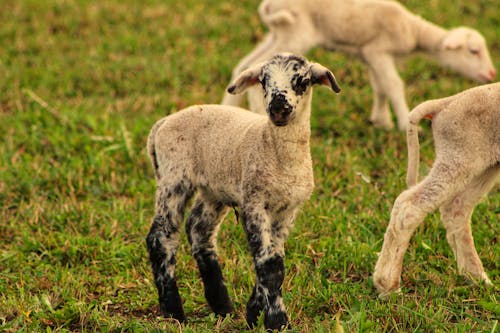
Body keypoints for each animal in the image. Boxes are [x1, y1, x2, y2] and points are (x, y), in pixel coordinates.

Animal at [223, 0, 496, 131]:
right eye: (473, 51)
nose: (492, 73)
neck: (413, 31)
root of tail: (270, 6)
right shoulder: (378, 51)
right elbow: (393, 85)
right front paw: (403, 124)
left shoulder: (369, 54)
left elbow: (380, 87)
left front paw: (381, 121)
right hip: (295, 34)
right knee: (257, 67)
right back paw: (258, 111)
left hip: (277, 33)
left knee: (244, 66)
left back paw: (230, 109)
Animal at [374, 81, 498, 294]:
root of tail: (444, 104)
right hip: (459, 156)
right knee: (409, 206)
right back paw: (388, 286)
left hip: (482, 164)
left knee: (457, 209)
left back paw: (477, 278)